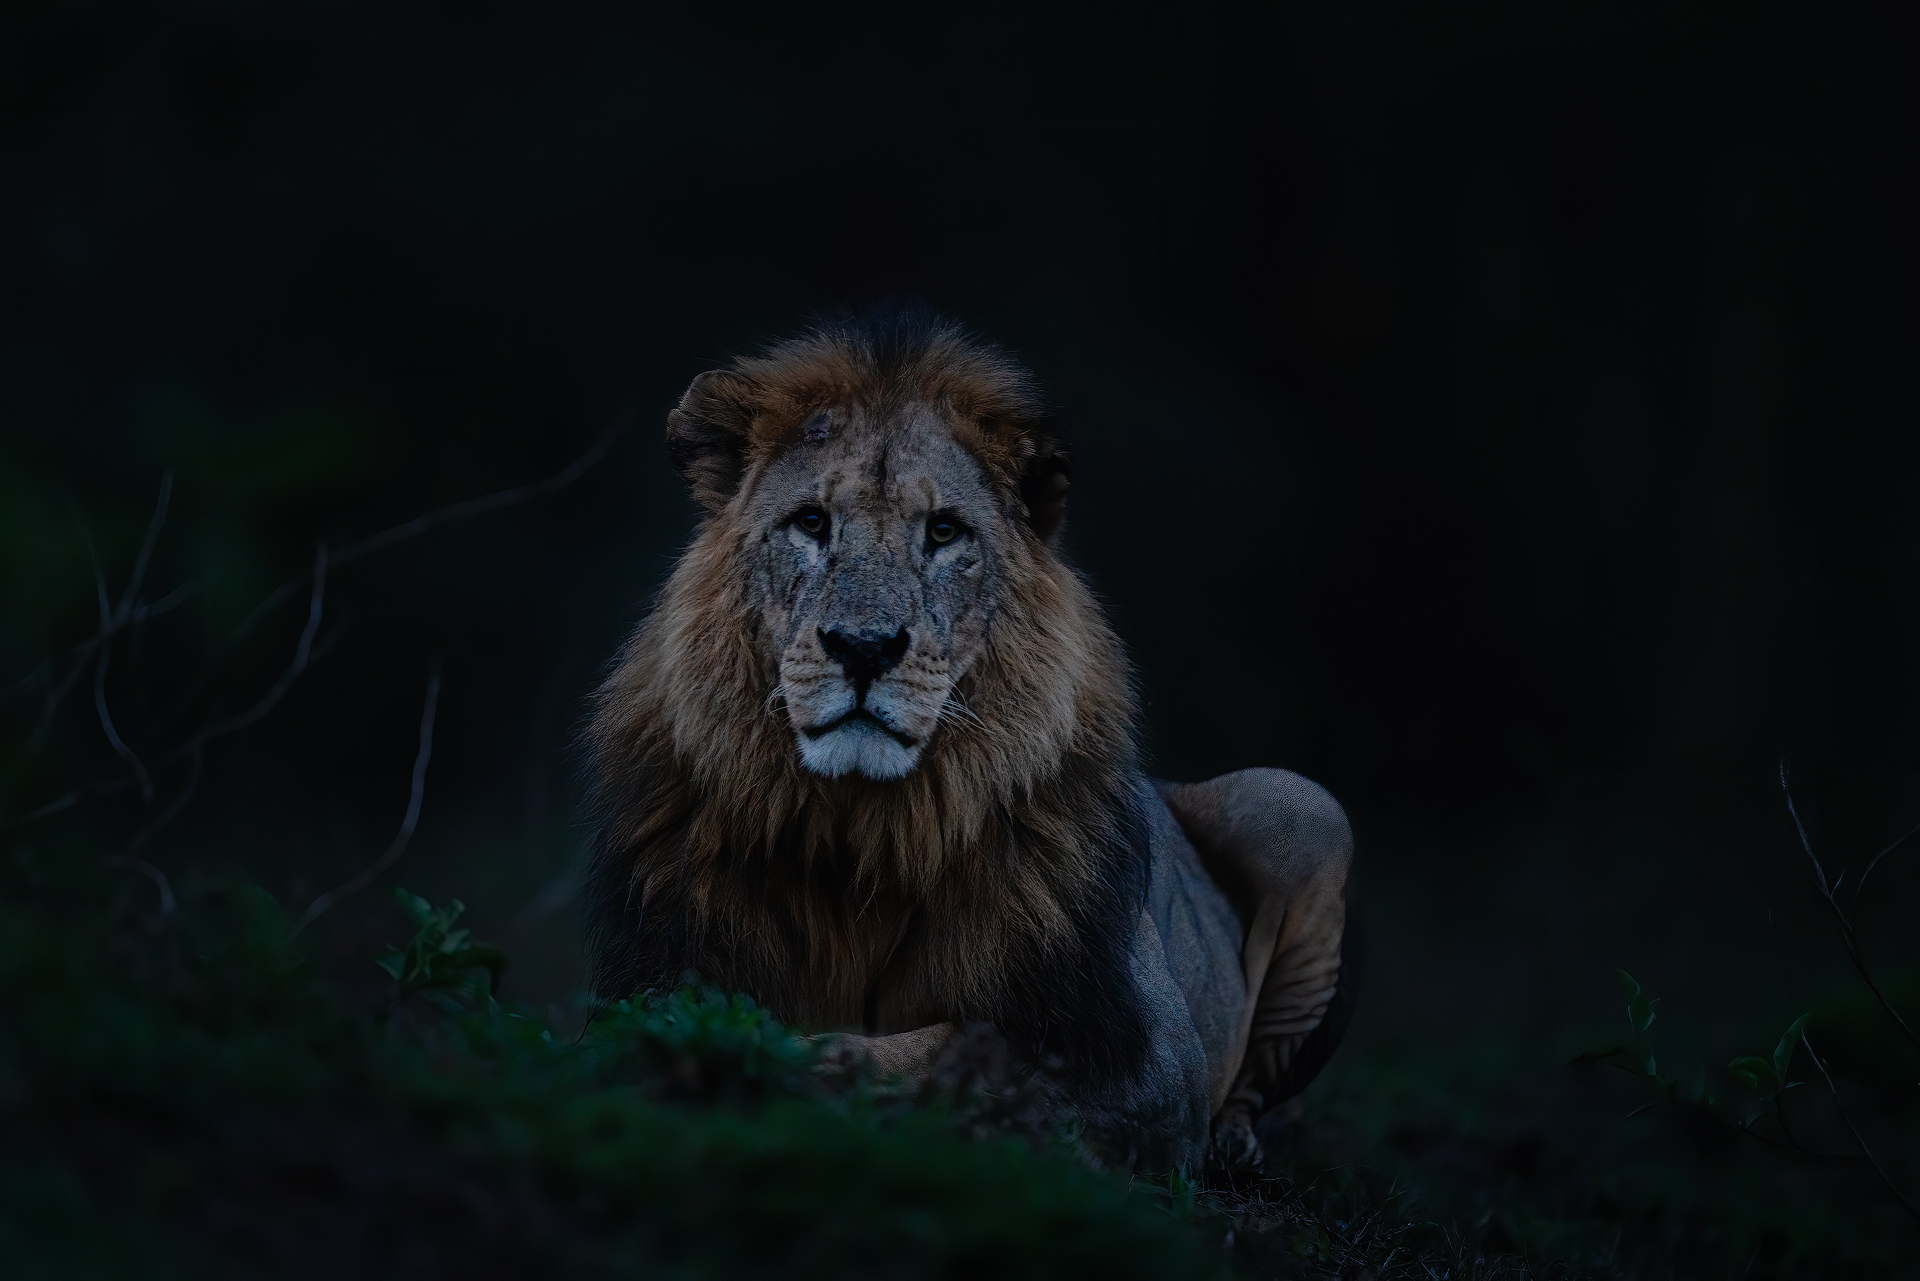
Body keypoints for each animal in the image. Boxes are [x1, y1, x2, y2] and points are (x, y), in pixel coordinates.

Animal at [582, 312, 1354, 1167]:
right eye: (811, 522)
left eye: (944, 531)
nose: (864, 646)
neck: (859, 832)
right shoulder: (658, 963)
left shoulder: (1145, 1054)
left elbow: (945, 1046)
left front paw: (778, 1057)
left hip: (1300, 803)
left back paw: (1236, 1145)